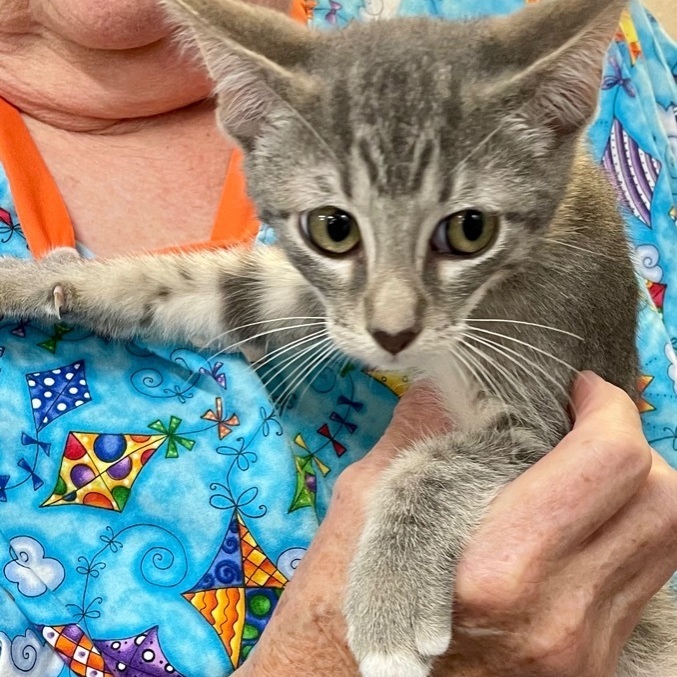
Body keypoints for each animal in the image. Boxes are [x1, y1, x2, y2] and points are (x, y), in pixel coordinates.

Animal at [1, 0, 676, 672]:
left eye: (471, 229)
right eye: (333, 228)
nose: (394, 333)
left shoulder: (549, 396)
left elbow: (436, 467)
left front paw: (390, 599)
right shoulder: (323, 303)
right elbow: (202, 284)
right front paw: (38, 281)